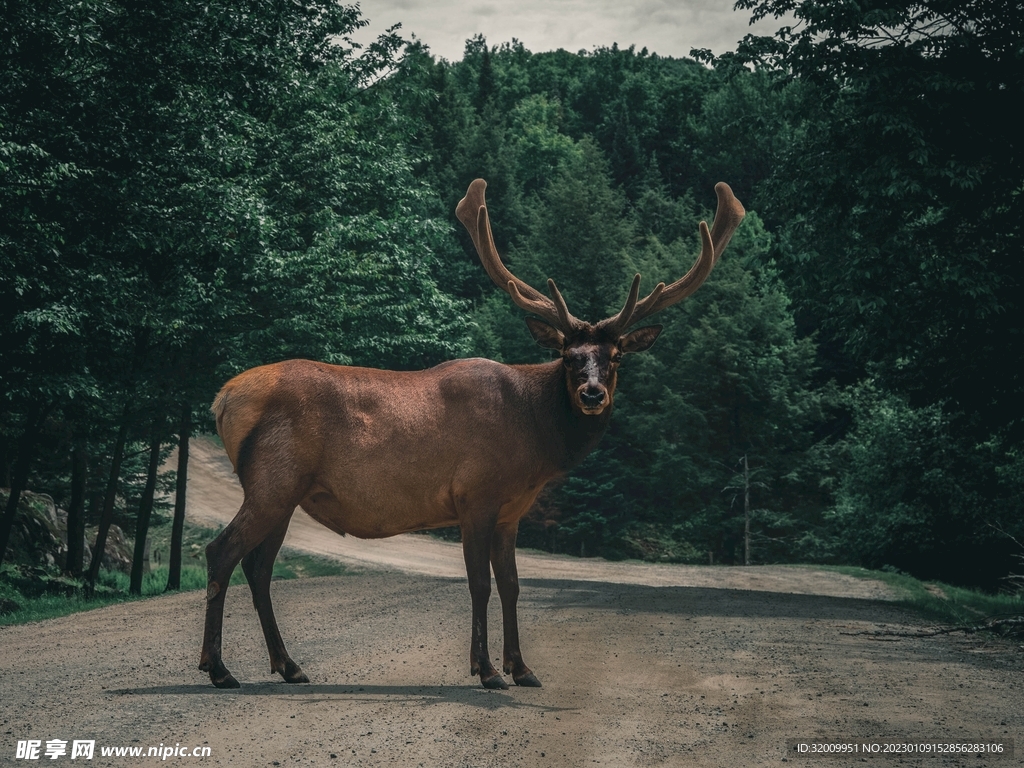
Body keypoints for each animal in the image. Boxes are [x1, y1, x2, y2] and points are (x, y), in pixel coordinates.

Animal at [199, 179, 745, 690]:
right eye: (568, 355)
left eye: (615, 358)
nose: (592, 394)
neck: (535, 442)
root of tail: (222, 398)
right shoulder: (474, 495)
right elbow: (479, 584)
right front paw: (486, 670)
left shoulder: (511, 512)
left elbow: (512, 585)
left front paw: (522, 668)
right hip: (273, 480)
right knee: (222, 552)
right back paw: (218, 668)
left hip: (286, 492)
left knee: (259, 567)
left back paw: (288, 666)